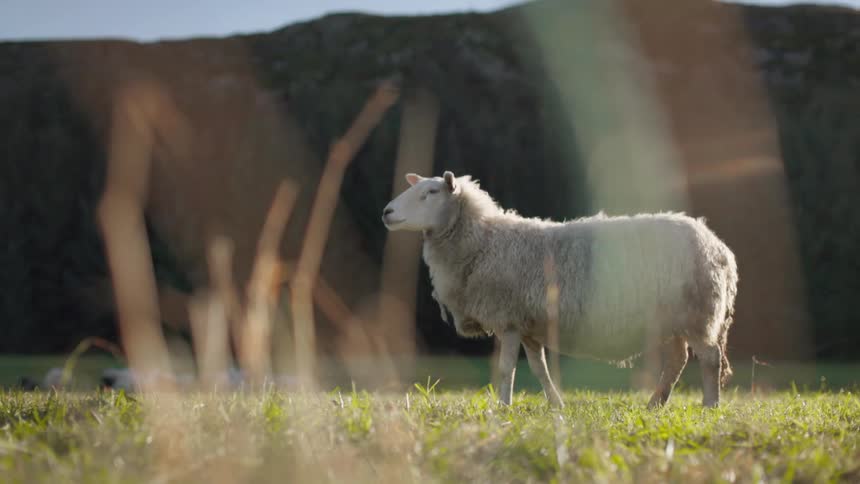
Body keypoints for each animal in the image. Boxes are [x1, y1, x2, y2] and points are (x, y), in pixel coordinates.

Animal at [382, 171, 738, 408]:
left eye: (431, 192)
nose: (386, 212)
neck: (483, 242)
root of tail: (718, 246)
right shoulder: (528, 325)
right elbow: (538, 369)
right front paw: (556, 405)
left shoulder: (508, 320)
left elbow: (506, 368)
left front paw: (503, 408)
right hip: (676, 319)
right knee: (678, 360)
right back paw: (655, 404)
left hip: (697, 313)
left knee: (710, 357)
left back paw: (710, 406)